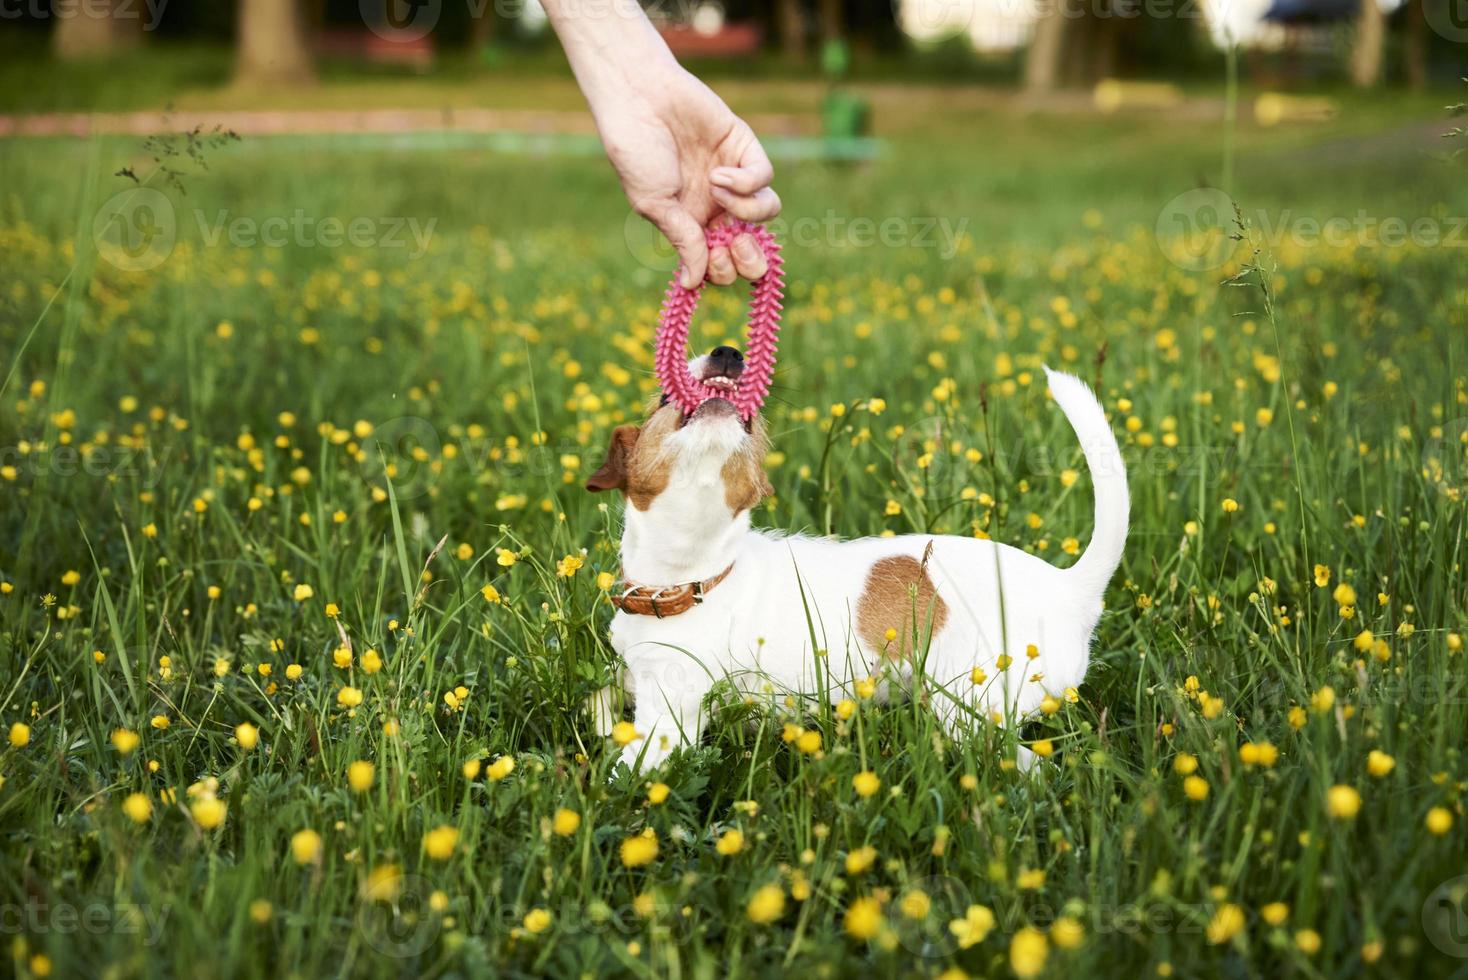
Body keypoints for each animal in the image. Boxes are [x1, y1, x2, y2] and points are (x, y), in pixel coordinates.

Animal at [584, 344, 1121, 774]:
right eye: (664, 399)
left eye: (753, 421)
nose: (730, 353)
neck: (691, 576)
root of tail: (1072, 588)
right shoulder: (635, 676)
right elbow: (601, 698)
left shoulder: (669, 722)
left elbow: (622, 774)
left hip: (970, 710)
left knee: (1033, 765)